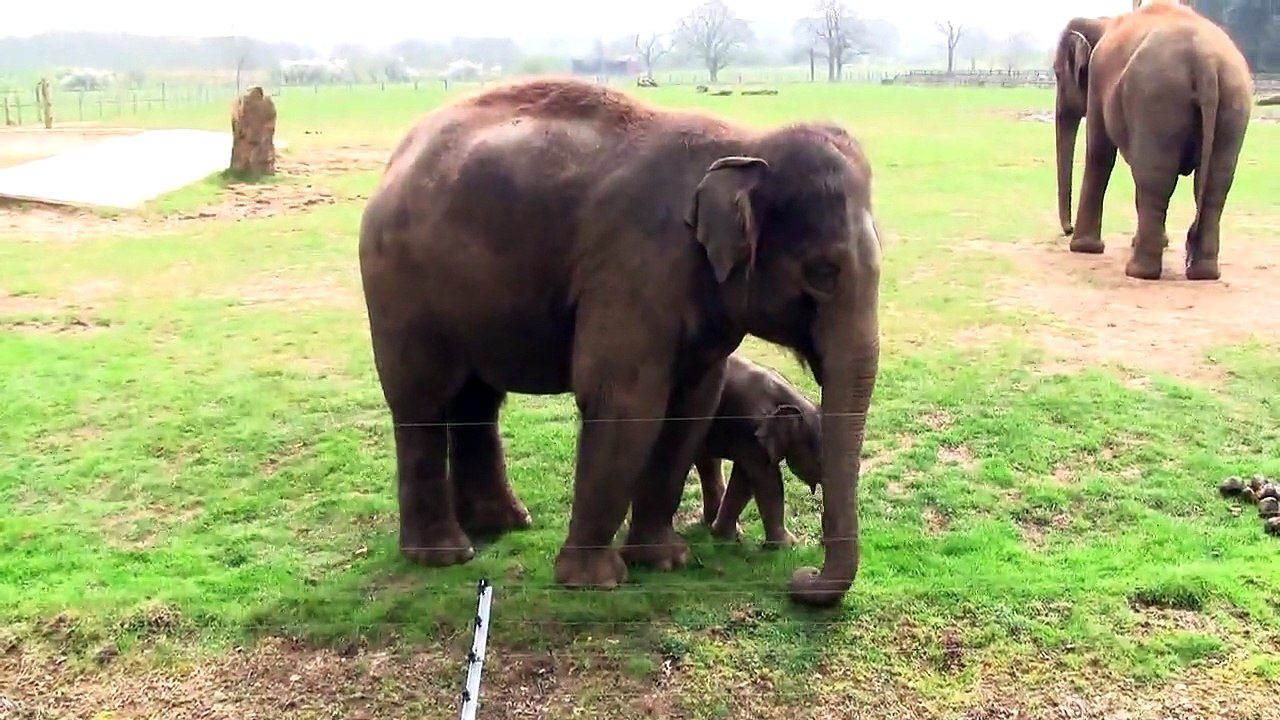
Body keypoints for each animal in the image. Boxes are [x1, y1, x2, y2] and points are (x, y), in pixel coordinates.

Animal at [691, 354, 823, 549]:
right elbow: (767, 481)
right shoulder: (750, 431)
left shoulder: (751, 440)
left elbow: (744, 480)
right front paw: (789, 546)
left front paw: (724, 536)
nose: (821, 543)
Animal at [1052, 1, 1254, 280]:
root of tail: (1205, 59)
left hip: (1156, 97)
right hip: (1233, 100)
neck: (1104, 22)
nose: (1067, 229)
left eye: (1057, 74)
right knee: (1215, 183)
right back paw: (1203, 272)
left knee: (1154, 179)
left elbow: (1100, 153)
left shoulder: (1097, 79)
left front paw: (1083, 248)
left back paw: (1139, 271)